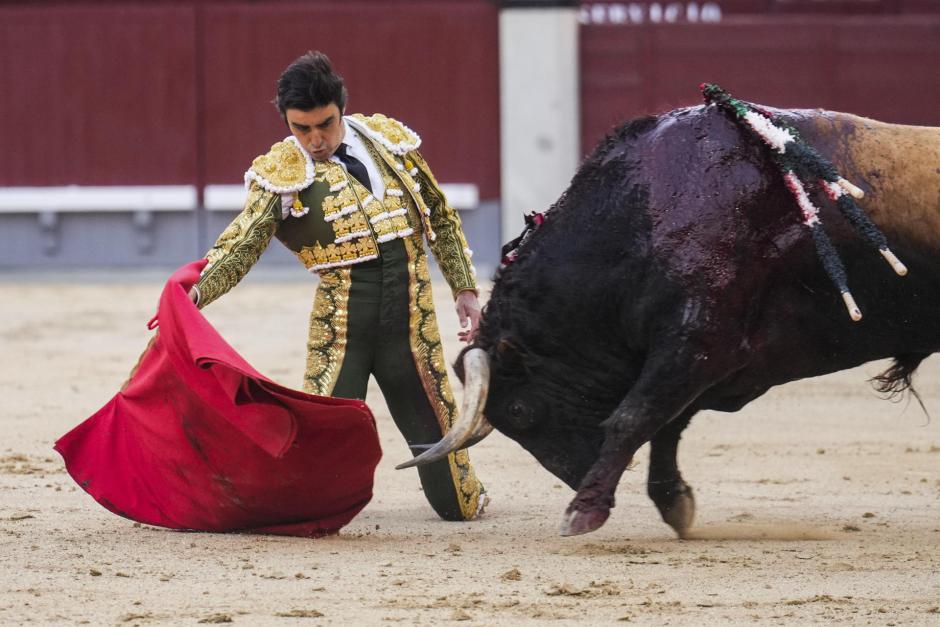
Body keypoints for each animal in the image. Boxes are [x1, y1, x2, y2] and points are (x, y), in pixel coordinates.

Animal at [398, 93, 940, 540]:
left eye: (517, 411)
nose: (578, 476)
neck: (641, 219)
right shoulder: (708, 362)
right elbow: (665, 423)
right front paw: (673, 502)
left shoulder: (697, 342)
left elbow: (635, 415)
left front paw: (584, 511)